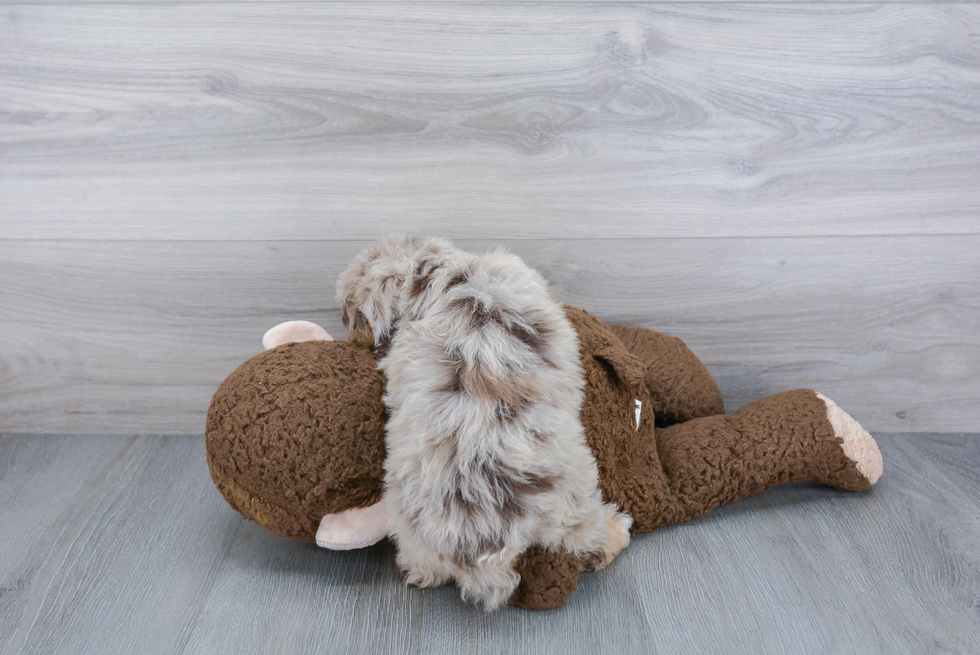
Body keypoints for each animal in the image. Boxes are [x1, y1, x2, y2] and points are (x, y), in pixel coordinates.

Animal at [334, 236, 628, 608]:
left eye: (351, 315)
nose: (348, 339)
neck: (434, 273)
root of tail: (488, 549)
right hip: (577, 495)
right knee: (586, 539)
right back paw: (616, 533)